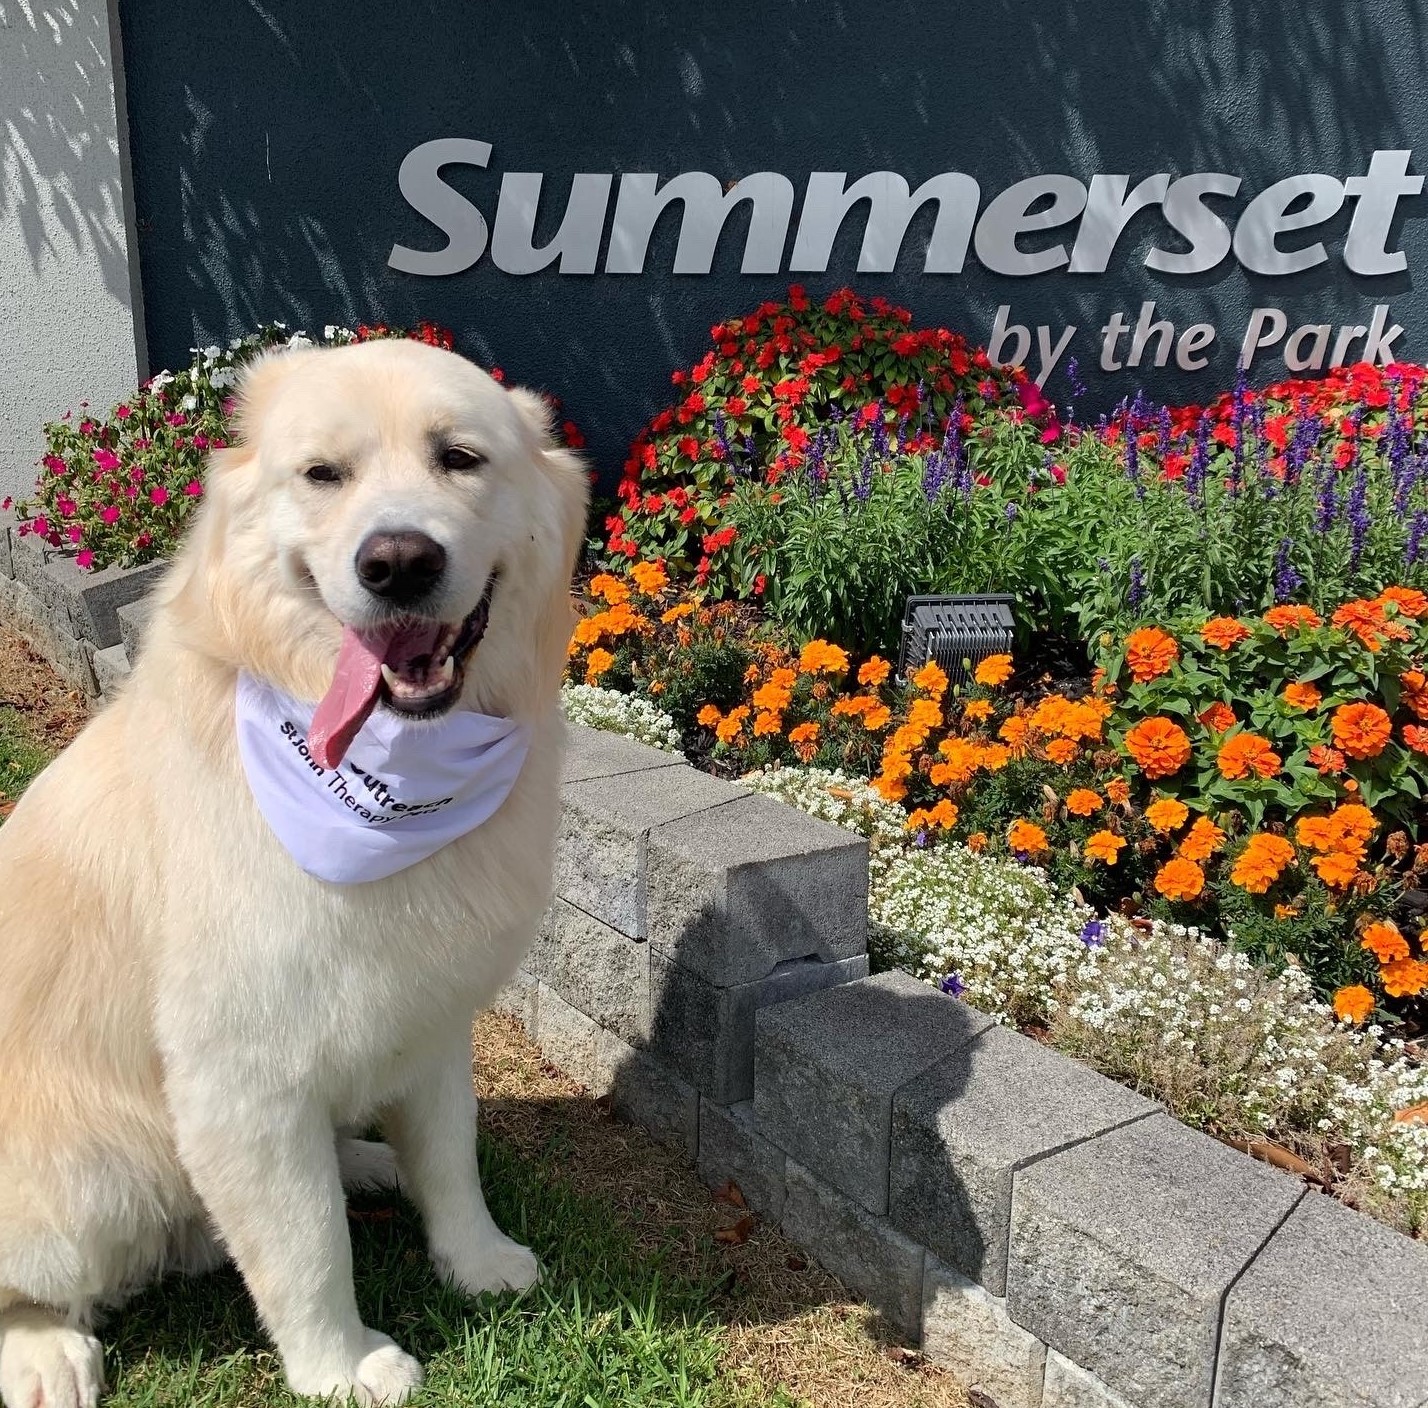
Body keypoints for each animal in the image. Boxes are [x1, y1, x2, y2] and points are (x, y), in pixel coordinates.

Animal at [0, 339, 588, 1405]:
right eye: (324, 475)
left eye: (459, 458)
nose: (398, 563)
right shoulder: (244, 1080)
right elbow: (307, 1246)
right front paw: (342, 1365)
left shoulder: (431, 1015)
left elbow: (451, 1158)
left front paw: (477, 1261)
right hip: (93, 1174)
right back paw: (46, 1353)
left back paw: (362, 1159)